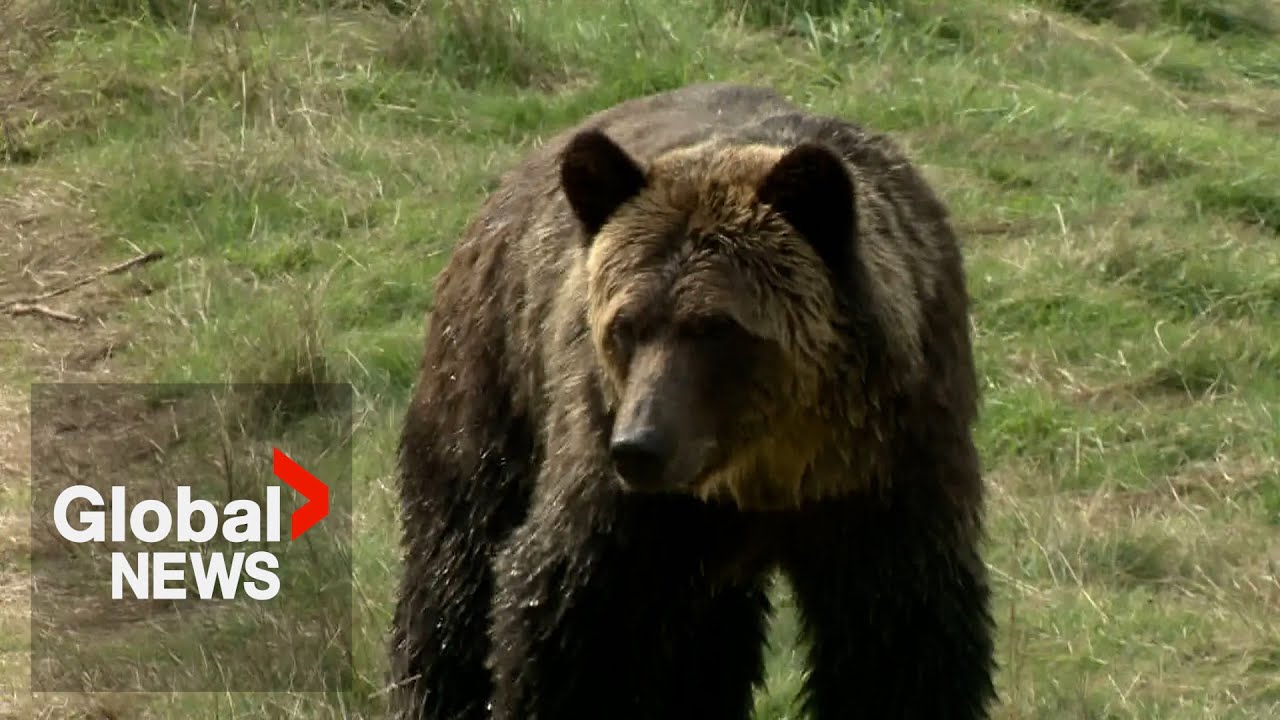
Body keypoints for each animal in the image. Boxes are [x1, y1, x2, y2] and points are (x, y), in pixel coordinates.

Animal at [389, 82, 996, 720]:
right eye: (625, 324)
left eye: (716, 327)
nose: (640, 447)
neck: (768, 467)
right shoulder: (621, 489)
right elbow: (567, 612)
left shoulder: (888, 475)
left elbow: (901, 644)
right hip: (494, 377)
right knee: (456, 562)